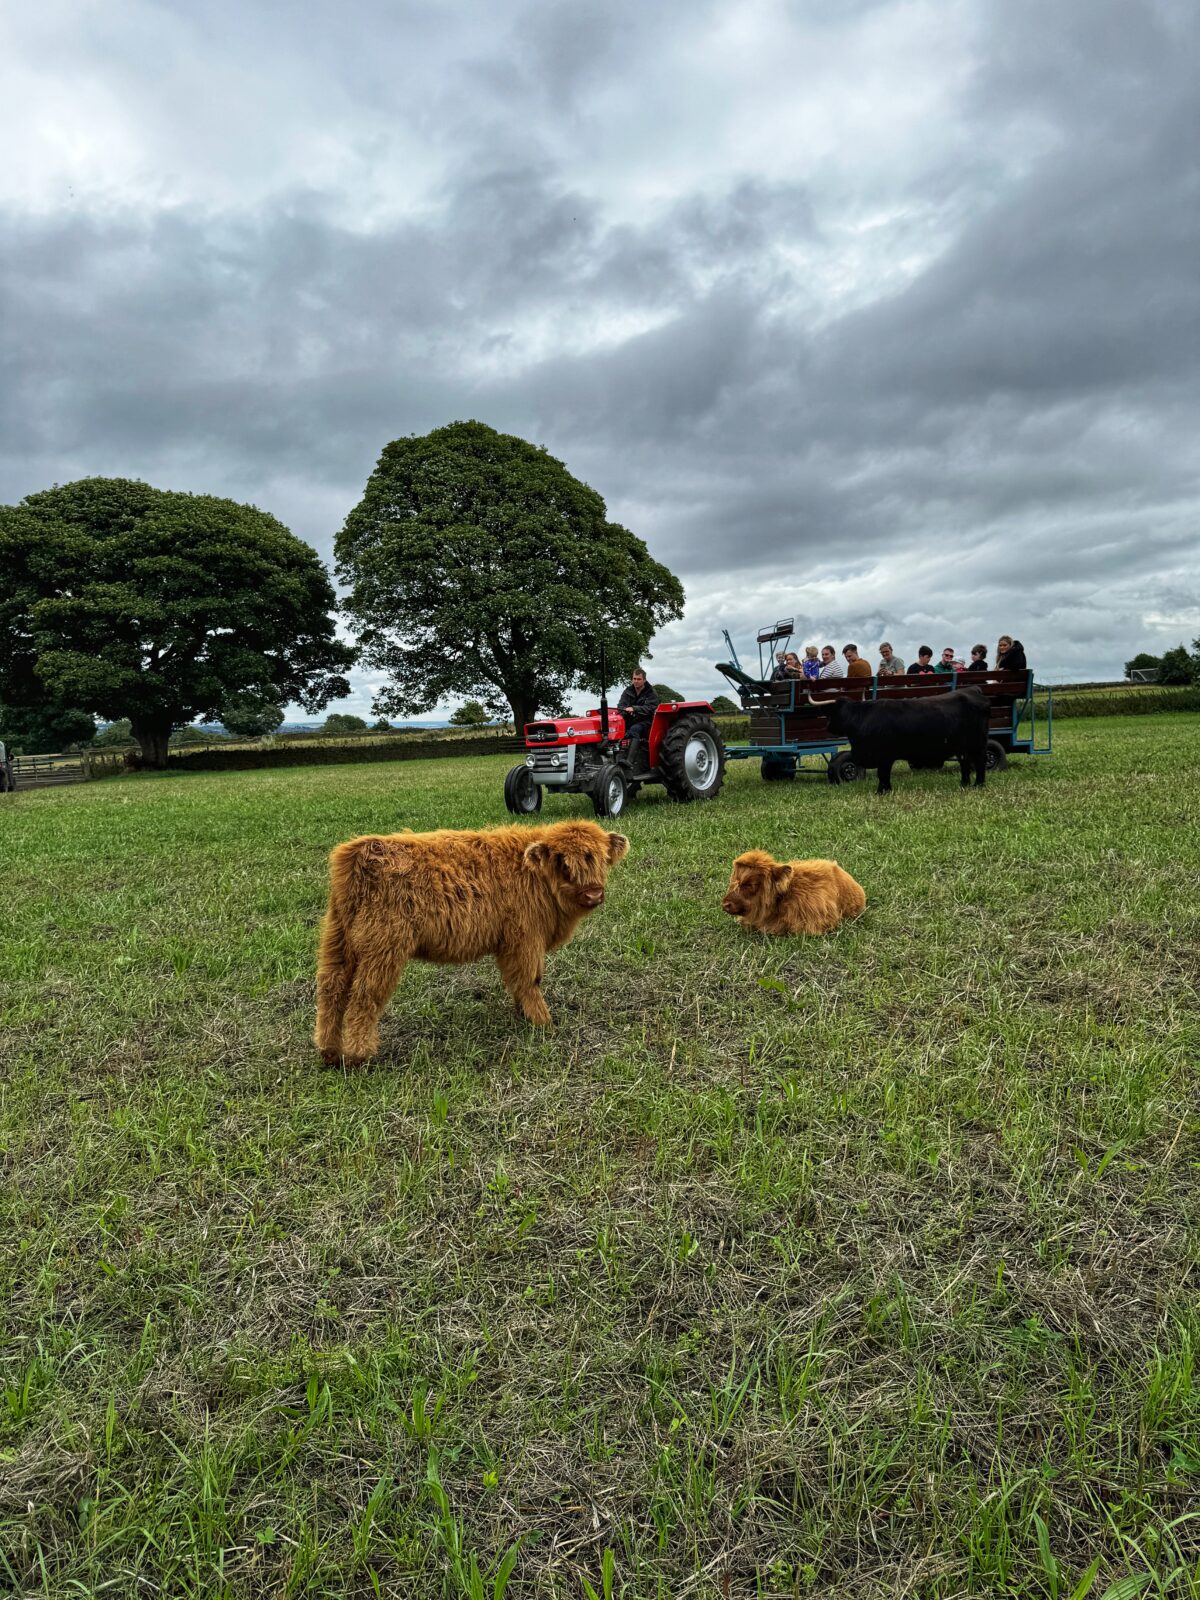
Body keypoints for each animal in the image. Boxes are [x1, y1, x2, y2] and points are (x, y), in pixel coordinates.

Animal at [314, 819, 630, 1066]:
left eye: (601, 858)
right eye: (563, 863)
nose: (593, 894)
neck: (534, 876)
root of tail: (362, 850)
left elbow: (518, 981)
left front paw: (523, 1013)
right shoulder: (524, 938)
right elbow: (530, 979)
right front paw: (543, 1022)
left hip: (338, 940)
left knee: (332, 988)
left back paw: (329, 1052)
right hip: (383, 947)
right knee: (364, 996)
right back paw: (359, 1055)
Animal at [807, 685, 991, 794]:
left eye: (832, 713)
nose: (828, 728)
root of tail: (973, 690)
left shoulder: (885, 756)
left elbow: (882, 774)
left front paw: (882, 791)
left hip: (978, 744)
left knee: (980, 762)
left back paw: (979, 785)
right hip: (962, 747)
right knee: (965, 764)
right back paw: (964, 784)